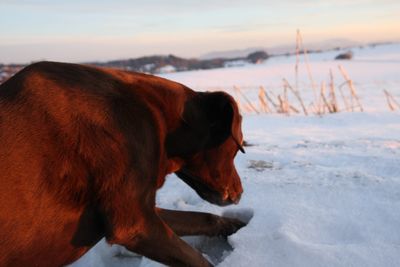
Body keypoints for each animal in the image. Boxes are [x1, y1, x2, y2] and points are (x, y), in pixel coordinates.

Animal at [0, 61, 245, 266]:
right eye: (236, 148)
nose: (241, 193)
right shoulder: (135, 225)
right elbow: (198, 260)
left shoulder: (145, 210)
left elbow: (206, 218)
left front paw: (241, 226)